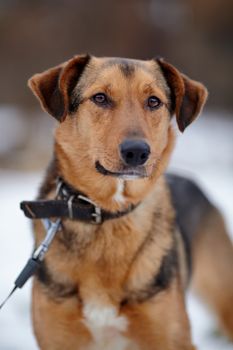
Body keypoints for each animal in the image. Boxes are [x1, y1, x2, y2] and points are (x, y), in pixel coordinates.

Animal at [27, 56, 233, 348]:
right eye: (100, 98)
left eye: (154, 101)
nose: (137, 152)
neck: (106, 214)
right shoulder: (58, 339)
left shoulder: (171, 338)